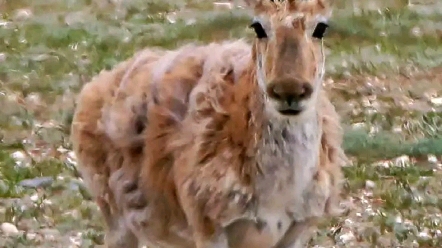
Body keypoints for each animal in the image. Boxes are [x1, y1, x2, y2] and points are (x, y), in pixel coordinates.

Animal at [70, 0, 346, 248]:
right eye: (258, 26)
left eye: (321, 27)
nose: (289, 90)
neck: (277, 198)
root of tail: (92, 89)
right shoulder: (208, 226)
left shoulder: (297, 230)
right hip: (116, 218)